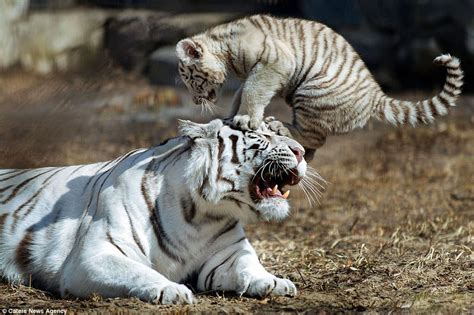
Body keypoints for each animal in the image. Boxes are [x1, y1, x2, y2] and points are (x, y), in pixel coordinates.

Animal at [0, 118, 308, 304]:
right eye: (259, 136)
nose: (302, 151)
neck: (201, 215)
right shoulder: (93, 256)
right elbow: (137, 272)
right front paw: (172, 290)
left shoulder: (228, 254)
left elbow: (249, 266)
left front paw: (274, 282)